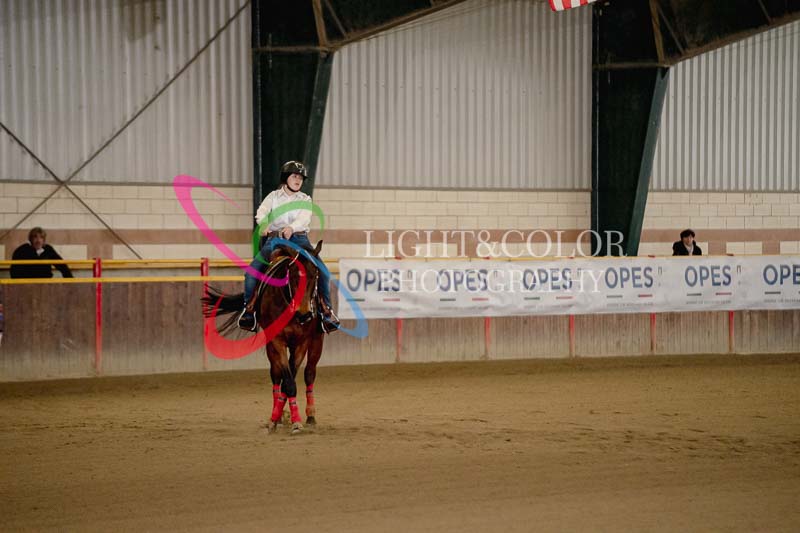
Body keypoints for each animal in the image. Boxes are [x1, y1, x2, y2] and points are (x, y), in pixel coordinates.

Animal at [204, 240, 326, 435]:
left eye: (315, 276)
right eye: (293, 276)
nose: (305, 314)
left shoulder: (302, 342)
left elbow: (291, 380)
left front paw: (295, 420)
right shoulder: (277, 341)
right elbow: (287, 382)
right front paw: (280, 420)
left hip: (316, 341)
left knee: (309, 374)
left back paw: (310, 415)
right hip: (272, 347)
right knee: (276, 376)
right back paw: (277, 416)